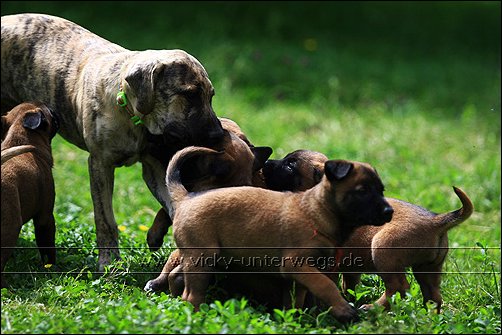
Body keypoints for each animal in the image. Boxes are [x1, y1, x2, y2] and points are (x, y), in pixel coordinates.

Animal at [0, 101, 58, 288]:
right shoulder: (45, 217)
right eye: (51, 114)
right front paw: (51, 268)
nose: (55, 110)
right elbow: (47, 248)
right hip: (10, 226)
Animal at [165, 156, 392, 326]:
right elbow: (325, 284)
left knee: (178, 279)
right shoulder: (295, 264)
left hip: (204, 257)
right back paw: (196, 317)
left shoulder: (303, 274)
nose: (389, 211)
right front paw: (343, 309)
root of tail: (186, 198)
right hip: (203, 258)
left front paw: (294, 320)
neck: (317, 212)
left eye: (381, 191)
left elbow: (298, 298)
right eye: (362, 191)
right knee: (191, 295)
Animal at [262, 150, 474, 312]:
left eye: (290, 165)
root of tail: (435, 221)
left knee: (399, 287)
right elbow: (347, 287)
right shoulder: (349, 269)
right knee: (433, 296)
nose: (266, 163)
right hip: (429, 269)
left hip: (383, 250)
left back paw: (373, 307)